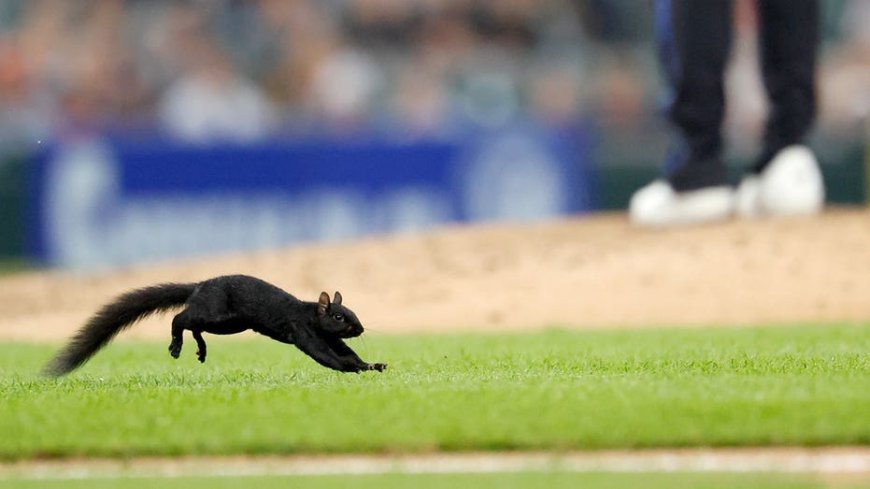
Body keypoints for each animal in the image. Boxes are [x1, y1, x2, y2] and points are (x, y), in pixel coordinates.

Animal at [43, 274, 387, 376]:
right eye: (339, 316)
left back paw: (200, 349)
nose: (360, 329)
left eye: (353, 313)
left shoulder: (331, 338)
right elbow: (324, 355)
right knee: (181, 318)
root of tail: (198, 286)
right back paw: (176, 344)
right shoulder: (303, 331)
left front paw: (371, 365)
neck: (311, 316)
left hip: (229, 324)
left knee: (193, 324)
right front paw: (349, 368)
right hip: (219, 316)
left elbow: (345, 351)